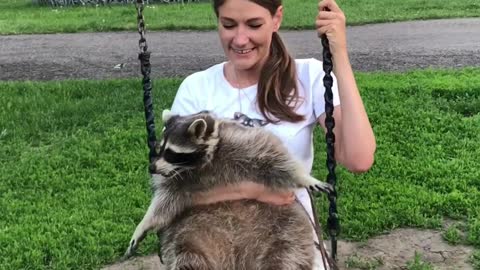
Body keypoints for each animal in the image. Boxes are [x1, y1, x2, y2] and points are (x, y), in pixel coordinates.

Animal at [124, 109, 334, 268]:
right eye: (159, 149)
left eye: (171, 153)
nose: (152, 168)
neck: (204, 163)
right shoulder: (180, 179)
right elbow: (164, 202)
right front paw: (144, 224)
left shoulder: (242, 141)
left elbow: (277, 159)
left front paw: (304, 177)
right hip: (191, 234)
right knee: (188, 255)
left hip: (286, 229)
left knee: (286, 257)